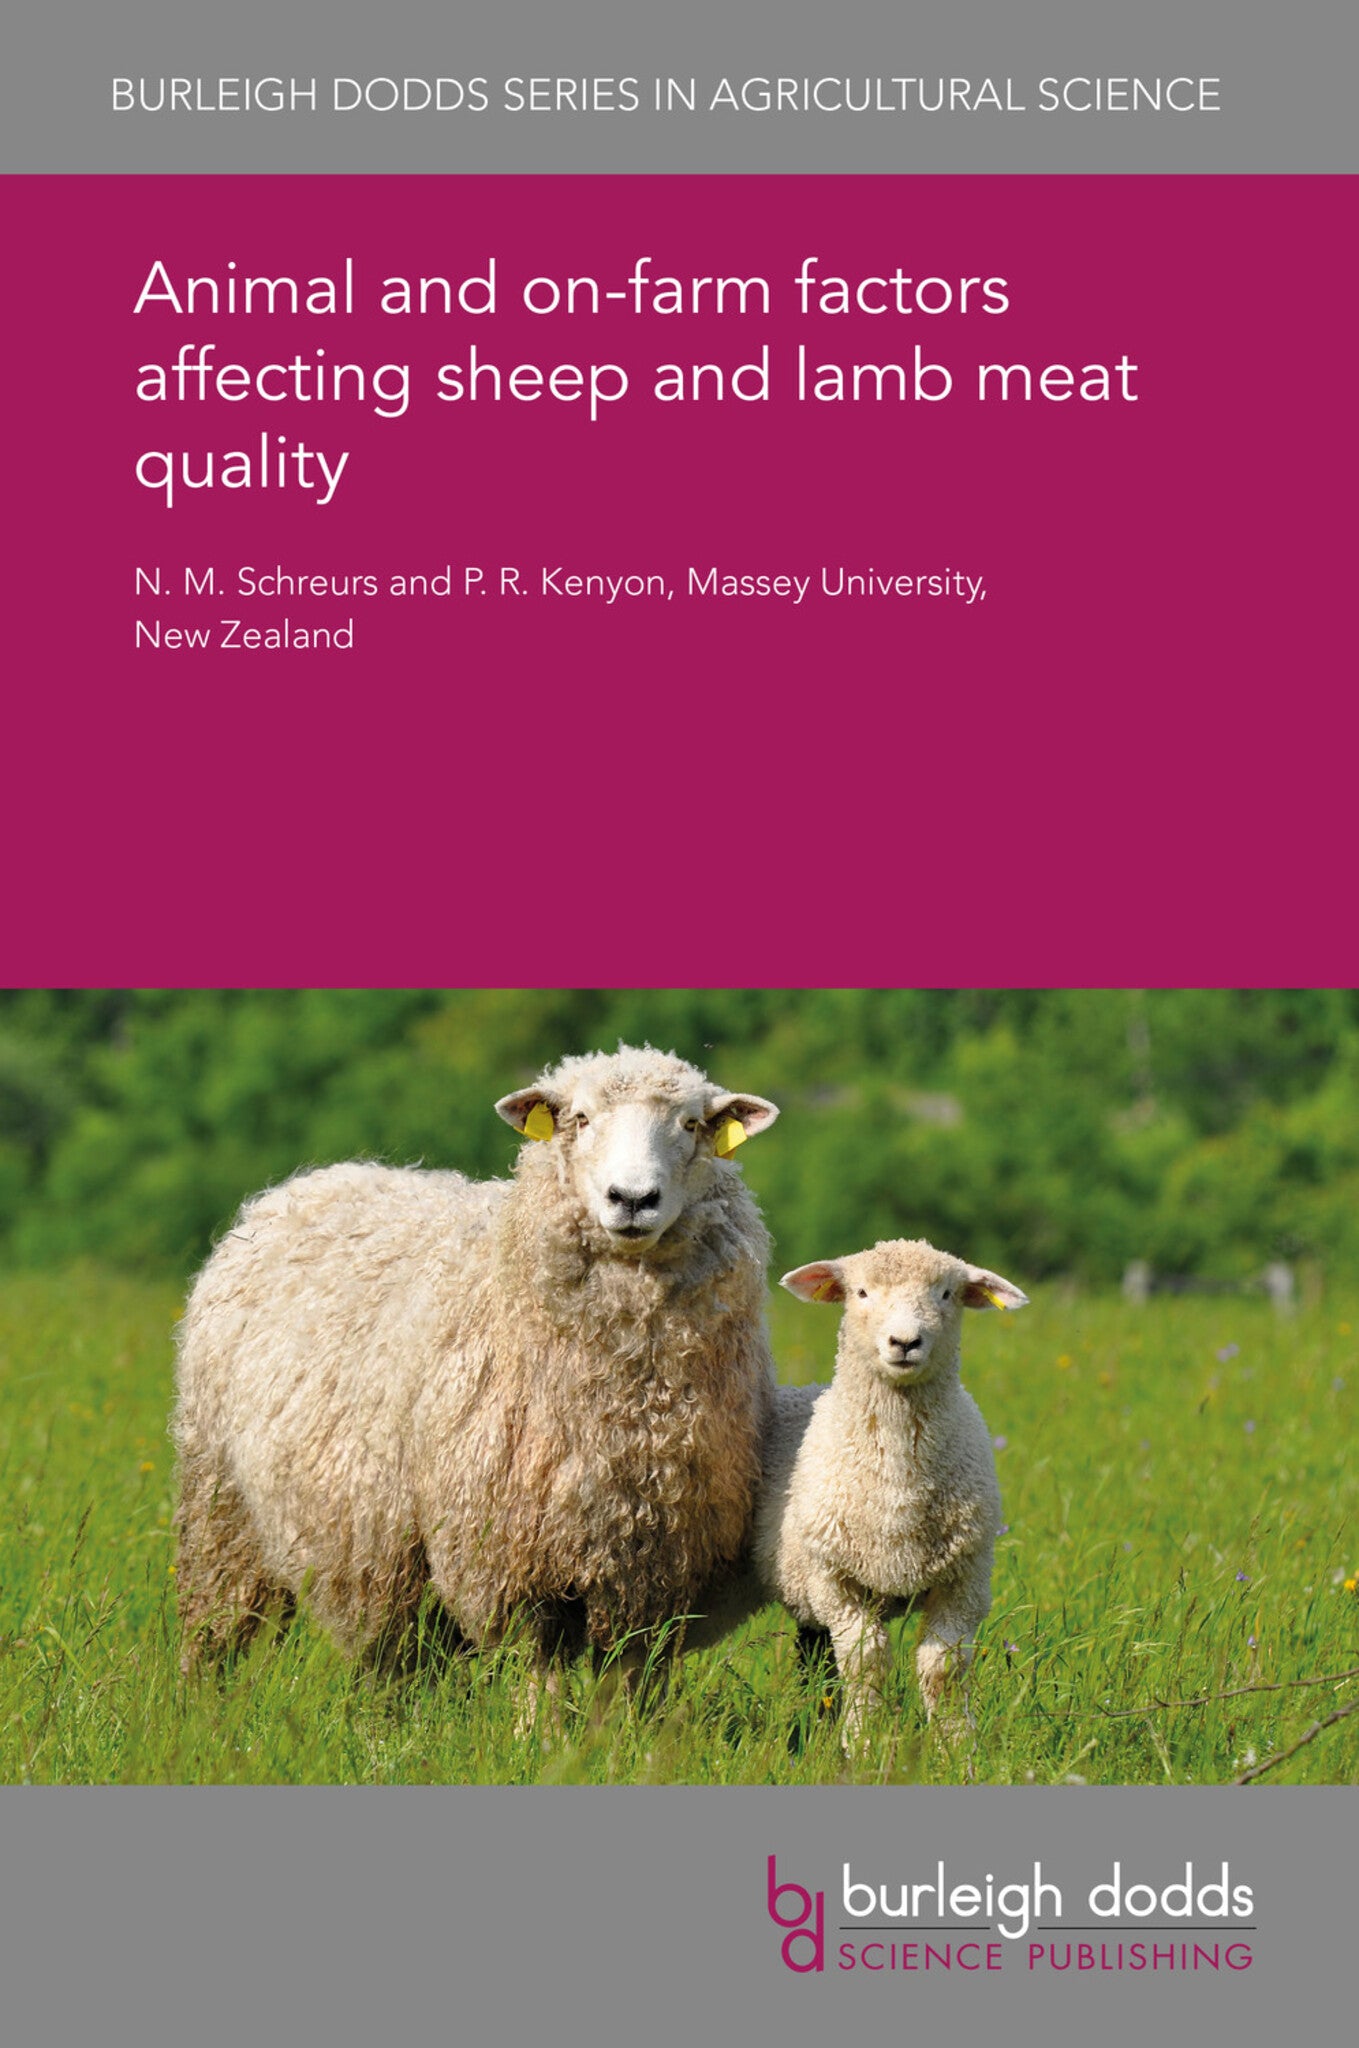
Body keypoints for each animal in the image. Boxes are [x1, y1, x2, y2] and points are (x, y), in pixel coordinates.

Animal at [172, 1045, 780, 1689]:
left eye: (690, 1124)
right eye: (581, 1118)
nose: (633, 1199)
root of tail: (306, 1182)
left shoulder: (651, 1572)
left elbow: (626, 1687)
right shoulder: (510, 1566)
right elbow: (540, 1682)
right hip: (220, 1505)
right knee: (212, 1634)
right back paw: (197, 1704)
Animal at [754, 1238, 1027, 1745]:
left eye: (946, 1293)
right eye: (861, 1292)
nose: (904, 1343)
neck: (898, 1489)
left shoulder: (965, 1581)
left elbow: (942, 1668)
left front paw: (956, 1746)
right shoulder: (835, 1580)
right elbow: (867, 1662)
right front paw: (862, 1741)